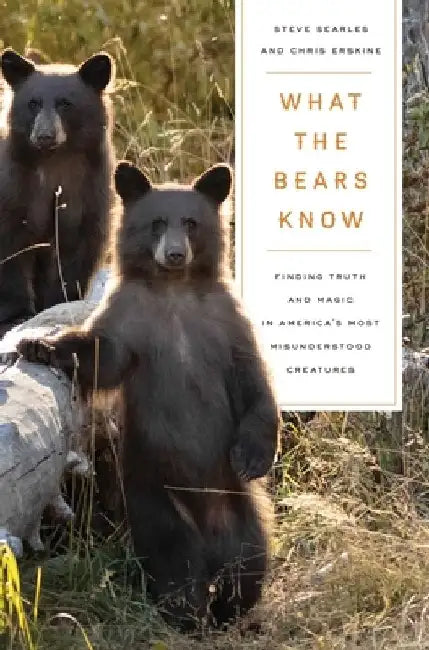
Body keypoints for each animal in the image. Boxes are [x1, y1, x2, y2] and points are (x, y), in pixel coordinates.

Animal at [0, 48, 115, 329]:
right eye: (33, 103)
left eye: (65, 103)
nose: (44, 135)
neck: (54, 162)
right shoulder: (15, 189)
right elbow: (11, 247)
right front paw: (17, 312)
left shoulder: (86, 189)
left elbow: (77, 249)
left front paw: (60, 302)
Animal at [17, 161, 279, 631]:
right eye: (156, 222)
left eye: (190, 223)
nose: (174, 255)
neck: (174, 293)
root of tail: (210, 537)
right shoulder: (131, 321)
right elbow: (100, 354)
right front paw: (38, 345)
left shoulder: (226, 323)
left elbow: (255, 383)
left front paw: (252, 455)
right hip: (154, 500)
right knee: (175, 562)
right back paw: (188, 612)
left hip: (241, 510)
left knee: (249, 562)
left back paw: (232, 609)